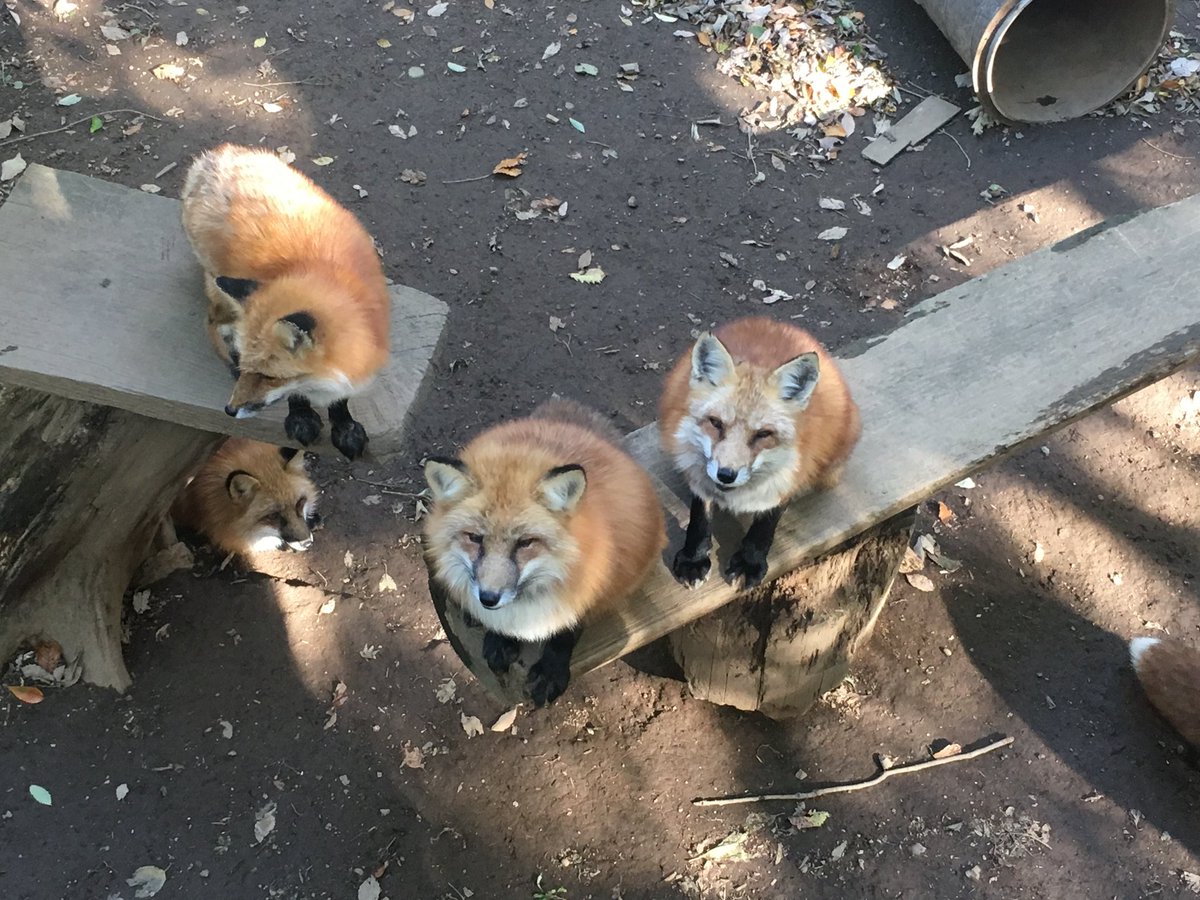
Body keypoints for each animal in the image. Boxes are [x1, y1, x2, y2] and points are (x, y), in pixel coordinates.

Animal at [180, 146, 391, 465]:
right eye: (252, 370)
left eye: (268, 377)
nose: (229, 410)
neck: (321, 272)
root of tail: (222, 152)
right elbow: (296, 393)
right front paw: (301, 416)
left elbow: (341, 398)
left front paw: (344, 424)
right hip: (217, 283)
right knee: (212, 320)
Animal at [422, 400, 667, 705]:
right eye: (475, 538)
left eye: (525, 542)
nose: (488, 598)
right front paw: (499, 637)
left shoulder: (589, 585)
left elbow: (566, 631)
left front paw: (550, 670)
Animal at [657, 316, 864, 592]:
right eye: (715, 423)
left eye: (763, 434)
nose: (726, 475)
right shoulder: (696, 470)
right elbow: (699, 518)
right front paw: (694, 558)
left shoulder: (791, 473)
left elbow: (765, 524)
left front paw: (750, 562)